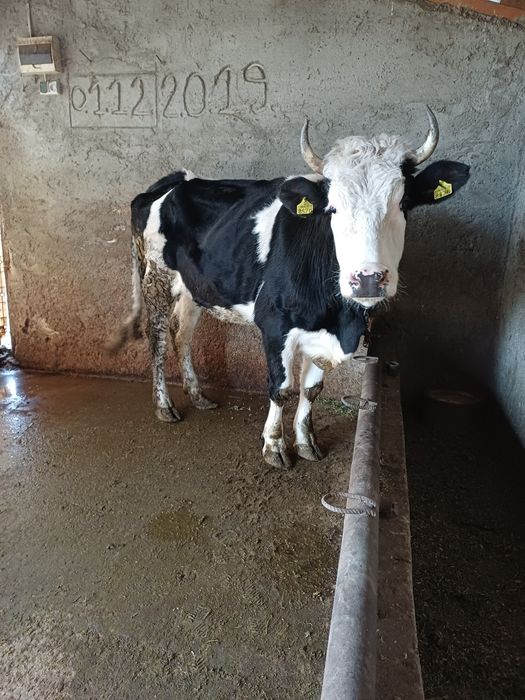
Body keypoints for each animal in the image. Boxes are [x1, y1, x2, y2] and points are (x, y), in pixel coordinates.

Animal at [109, 106, 470, 468]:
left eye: (403, 204)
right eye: (333, 208)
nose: (368, 277)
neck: (337, 317)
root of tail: (178, 178)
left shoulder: (321, 334)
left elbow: (311, 390)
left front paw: (307, 441)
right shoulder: (274, 324)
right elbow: (281, 388)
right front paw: (274, 446)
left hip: (193, 287)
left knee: (181, 334)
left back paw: (197, 395)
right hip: (157, 275)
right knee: (157, 337)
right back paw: (164, 406)